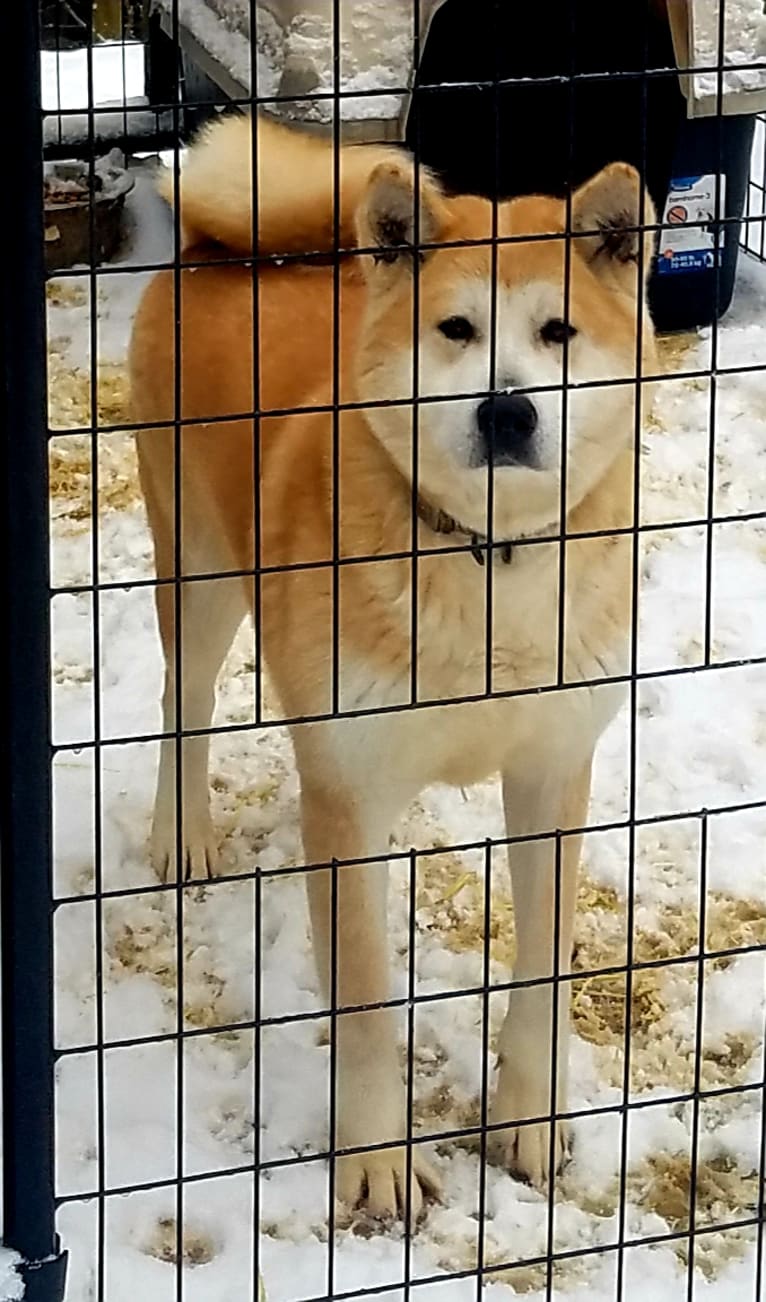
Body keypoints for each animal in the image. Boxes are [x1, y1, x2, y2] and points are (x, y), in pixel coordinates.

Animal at [128, 111, 656, 1218]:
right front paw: (374, 1163)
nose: (508, 411)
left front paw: (530, 1119)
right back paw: (182, 834)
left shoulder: (550, 770)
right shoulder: (349, 797)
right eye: (454, 330)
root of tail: (219, 248)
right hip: (198, 571)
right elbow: (367, 1006)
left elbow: (539, 969)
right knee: (181, 699)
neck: (485, 559)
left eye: (558, 334)